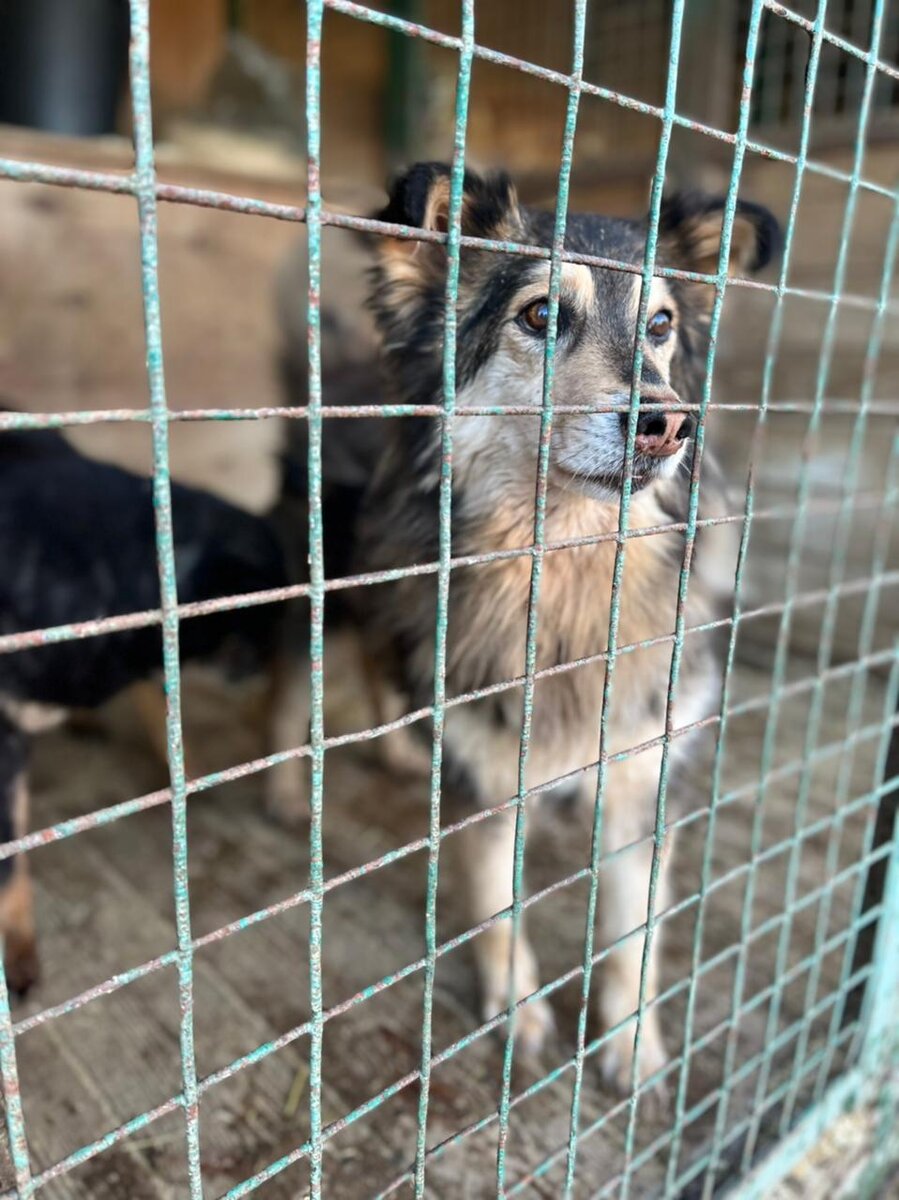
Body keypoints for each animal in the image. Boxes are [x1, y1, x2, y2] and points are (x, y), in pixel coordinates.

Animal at [0, 422, 288, 993]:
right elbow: (9, 858)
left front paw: (190, 779)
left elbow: (162, 711)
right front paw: (18, 949)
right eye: (261, 620)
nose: (273, 670)